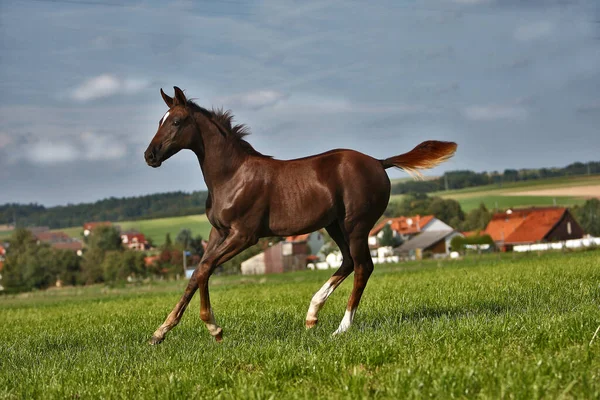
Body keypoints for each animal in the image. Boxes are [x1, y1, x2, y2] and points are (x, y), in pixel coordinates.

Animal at [144, 87, 454, 344]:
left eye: (176, 122)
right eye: (160, 120)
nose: (150, 156)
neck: (232, 176)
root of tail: (379, 162)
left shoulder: (244, 235)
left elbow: (205, 269)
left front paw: (214, 328)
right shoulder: (218, 232)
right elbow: (197, 272)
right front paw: (160, 332)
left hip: (356, 225)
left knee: (363, 266)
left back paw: (341, 328)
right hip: (334, 225)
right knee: (348, 261)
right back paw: (312, 314)